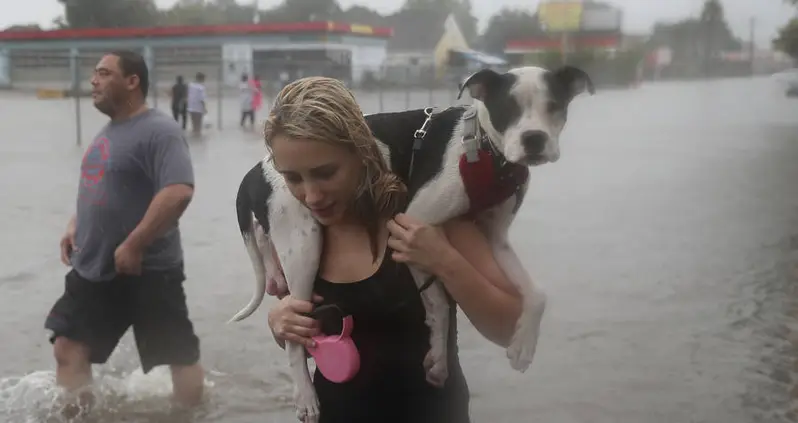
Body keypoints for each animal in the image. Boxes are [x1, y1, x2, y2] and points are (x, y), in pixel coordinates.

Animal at [231, 64, 592, 422]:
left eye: (555, 107)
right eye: (508, 108)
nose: (535, 139)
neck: (485, 151)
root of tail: (257, 169)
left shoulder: (496, 239)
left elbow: (537, 293)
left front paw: (522, 347)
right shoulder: (413, 223)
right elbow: (439, 302)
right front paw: (439, 355)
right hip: (304, 245)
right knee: (296, 333)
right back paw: (306, 395)